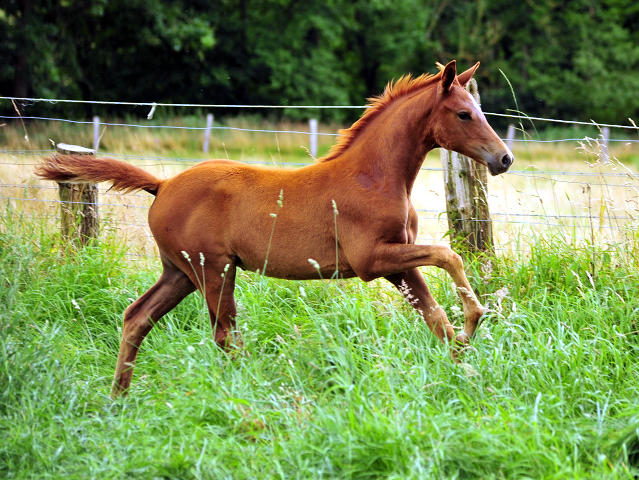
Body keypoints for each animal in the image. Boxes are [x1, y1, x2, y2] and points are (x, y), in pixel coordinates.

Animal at [36, 61, 516, 398]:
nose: (504, 158)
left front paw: (465, 363)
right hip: (214, 270)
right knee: (224, 335)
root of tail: (163, 184)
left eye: (478, 111)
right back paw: (258, 392)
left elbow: (436, 319)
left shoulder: (398, 261)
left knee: (137, 317)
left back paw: (118, 398)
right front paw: (475, 320)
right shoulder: (371, 260)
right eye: (463, 114)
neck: (373, 176)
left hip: (180, 273)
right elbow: (450, 255)